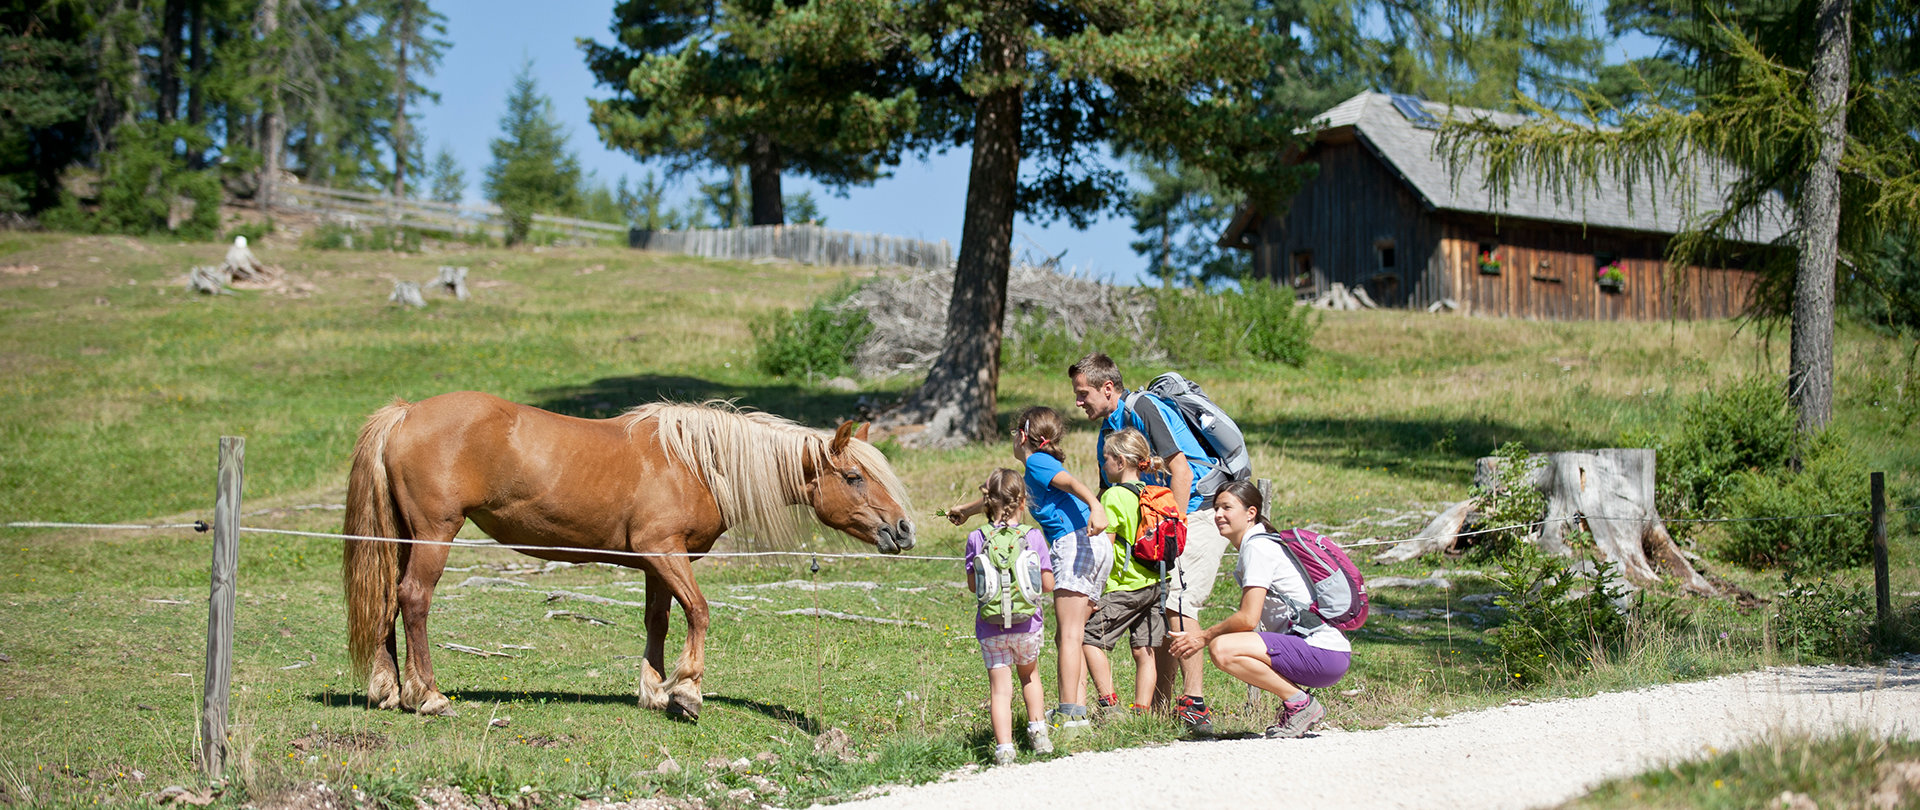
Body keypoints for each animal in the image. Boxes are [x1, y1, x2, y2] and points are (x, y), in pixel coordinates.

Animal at [345, 391, 913, 721]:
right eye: (854, 477)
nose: (903, 530)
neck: (695, 463)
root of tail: (405, 414)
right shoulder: (663, 552)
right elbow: (699, 612)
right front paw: (687, 693)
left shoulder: (658, 563)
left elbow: (659, 620)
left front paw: (655, 691)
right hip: (434, 535)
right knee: (414, 600)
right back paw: (429, 696)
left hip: (403, 539)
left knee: (389, 602)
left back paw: (388, 690)